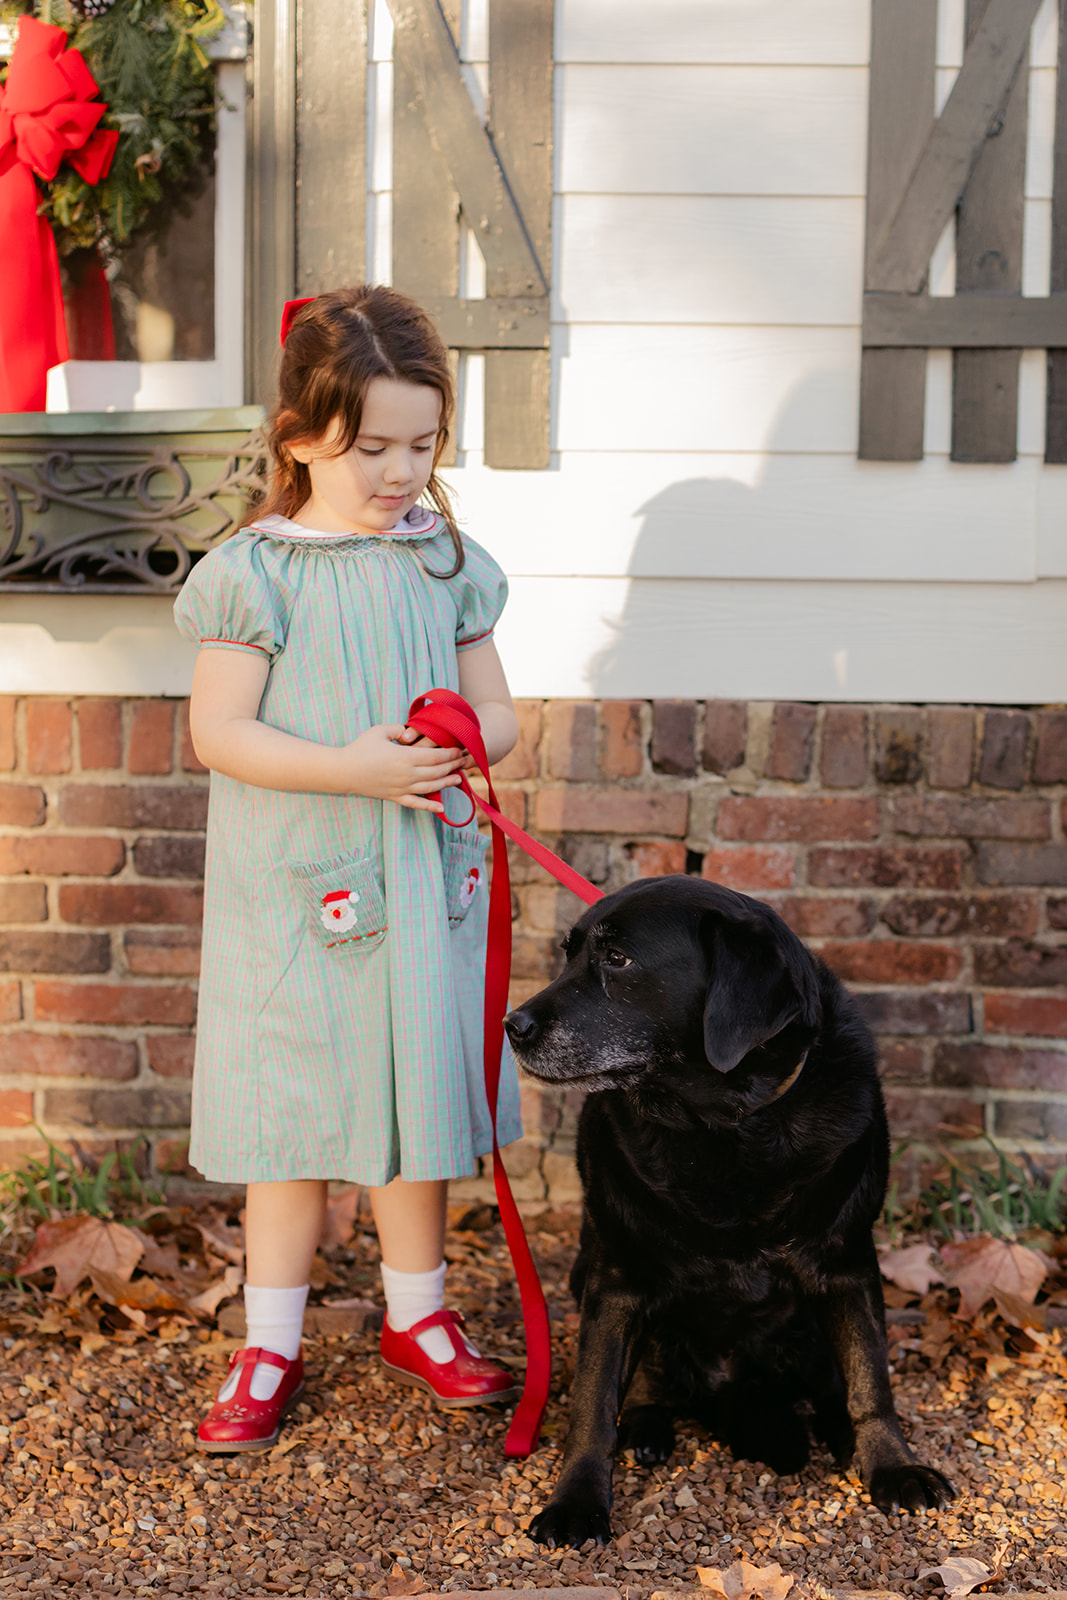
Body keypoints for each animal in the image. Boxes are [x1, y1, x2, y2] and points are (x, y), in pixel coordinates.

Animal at [505, 876, 953, 1548]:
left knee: (835, 1382)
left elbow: (870, 1376)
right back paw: (646, 1427)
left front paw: (893, 1466)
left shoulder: (847, 1263)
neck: (721, 1125)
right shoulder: (616, 1276)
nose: (512, 1024)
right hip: (592, 1277)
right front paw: (577, 1501)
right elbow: (593, 1402)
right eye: (570, 954)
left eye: (618, 959)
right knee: (644, 1383)